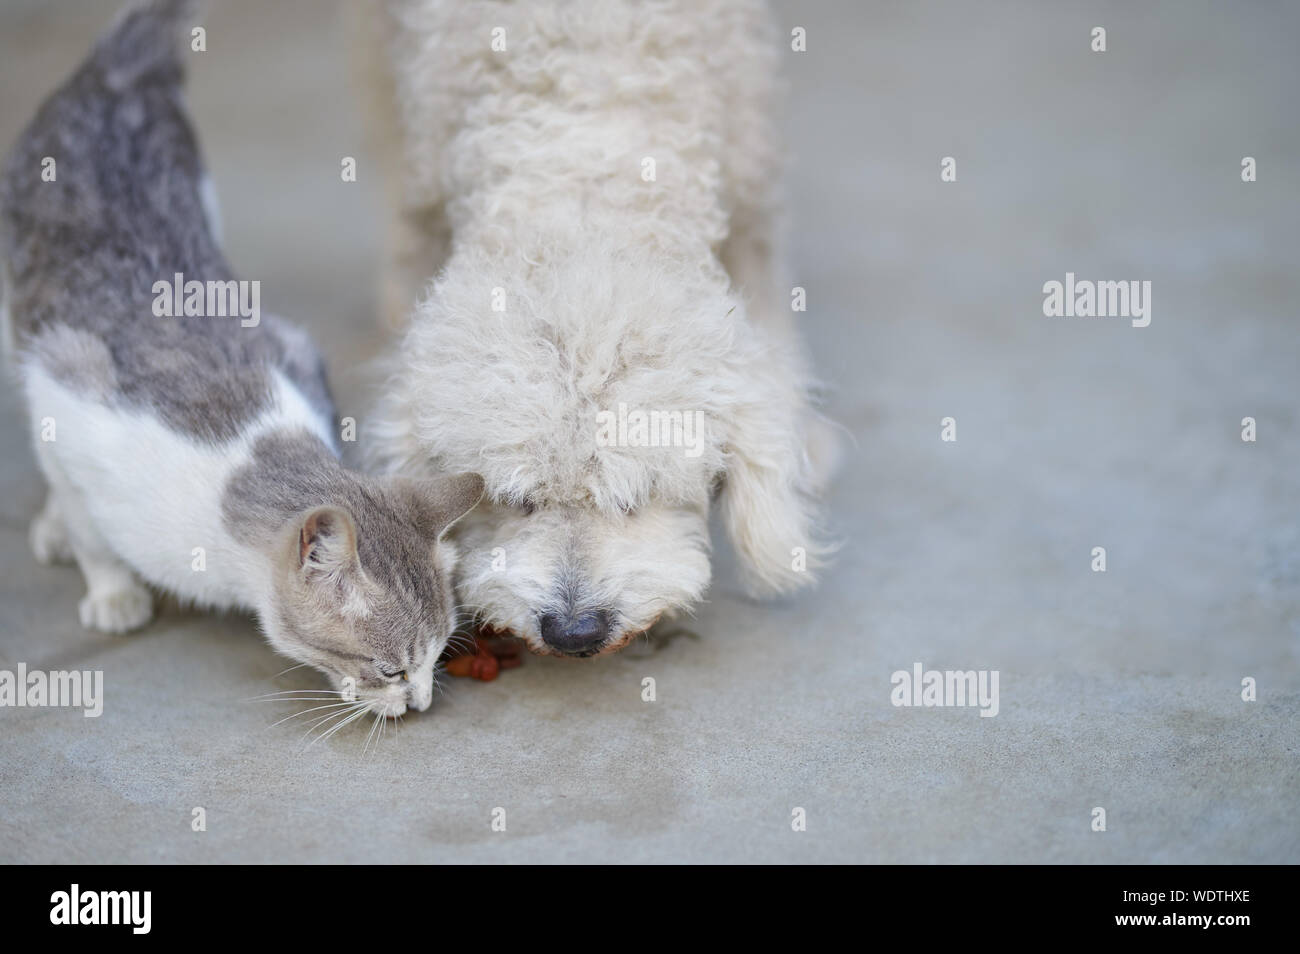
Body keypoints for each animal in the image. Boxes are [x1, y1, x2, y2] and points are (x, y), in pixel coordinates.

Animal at [0, 1, 483, 717]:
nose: (421, 701)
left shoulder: (290, 346)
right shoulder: (64, 390)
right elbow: (88, 521)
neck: (249, 448)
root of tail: (111, 78)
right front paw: (112, 587)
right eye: (390, 669)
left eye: (440, 650)